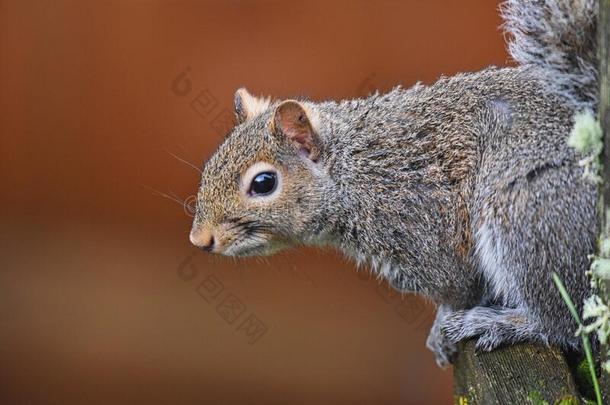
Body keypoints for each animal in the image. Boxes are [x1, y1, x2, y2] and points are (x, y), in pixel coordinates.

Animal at [190, 0, 600, 366]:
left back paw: (504, 323)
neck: (355, 171)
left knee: (564, 322)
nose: (200, 240)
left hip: (530, 221)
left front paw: (443, 325)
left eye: (263, 183)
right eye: (210, 165)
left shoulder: (424, 234)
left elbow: (459, 288)